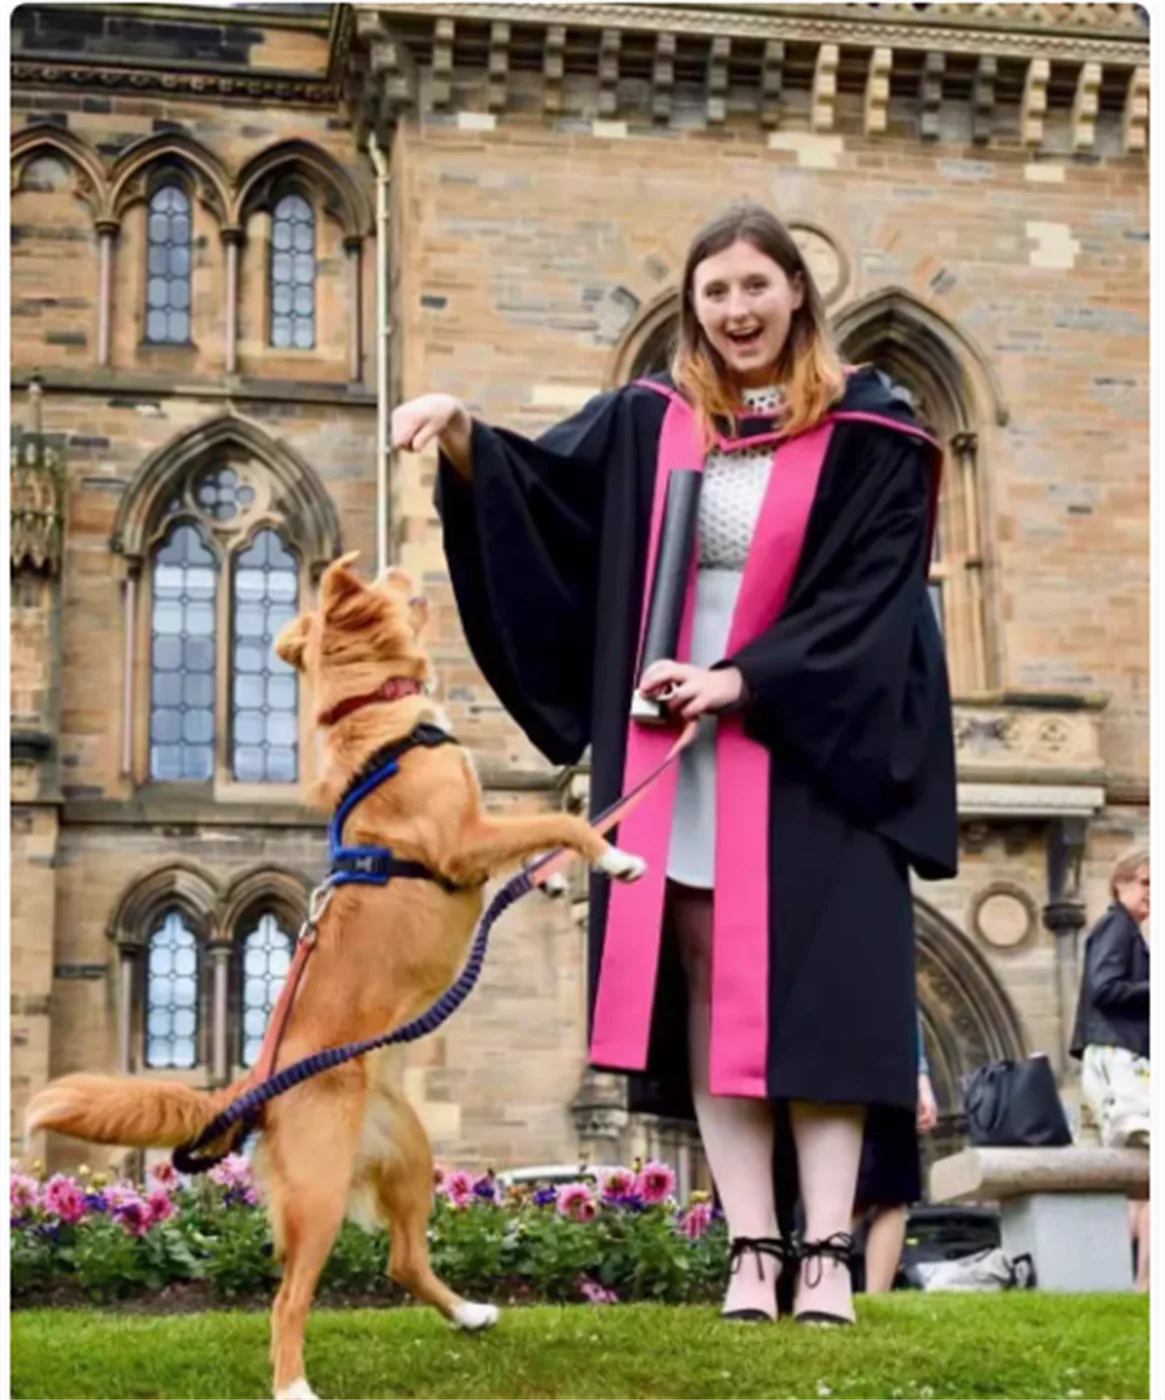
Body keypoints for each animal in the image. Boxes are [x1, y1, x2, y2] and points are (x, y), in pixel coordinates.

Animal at [25, 551, 646, 1400]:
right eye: (384, 583)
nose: (397, 563)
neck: (379, 722)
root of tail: (252, 1086)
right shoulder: (462, 839)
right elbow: (563, 820)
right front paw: (611, 855)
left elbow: (544, 834)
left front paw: (562, 874)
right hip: (319, 1195)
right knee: (288, 1299)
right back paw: (293, 1384)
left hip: (411, 1158)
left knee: (404, 1260)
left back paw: (469, 1313)